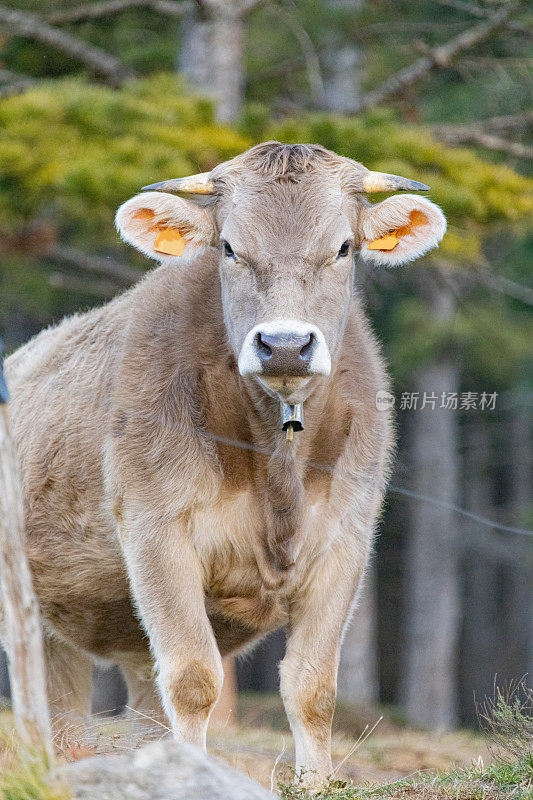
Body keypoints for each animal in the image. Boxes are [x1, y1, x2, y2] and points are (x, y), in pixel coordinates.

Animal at [2, 142, 444, 780]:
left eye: (343, 247)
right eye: (231, 247)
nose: (284, 345)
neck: (275, 463)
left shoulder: (347, 542)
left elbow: (313, 687)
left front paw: (315, 783)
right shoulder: (156, 532)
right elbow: (193, 678)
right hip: (27, 602)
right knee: (47, 706)